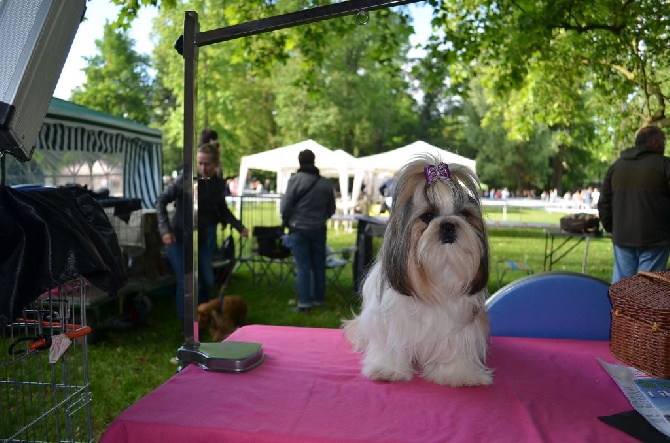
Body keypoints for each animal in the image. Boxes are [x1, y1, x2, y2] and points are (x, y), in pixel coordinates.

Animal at [344, 155, 490, 388]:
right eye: (428, 216)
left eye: (464, 215)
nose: (448, 224)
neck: (437, 274)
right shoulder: (392, 323)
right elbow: (391, 346)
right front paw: (388, 370)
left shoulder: (460, 326)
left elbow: (456, 349)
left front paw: (458, 374)